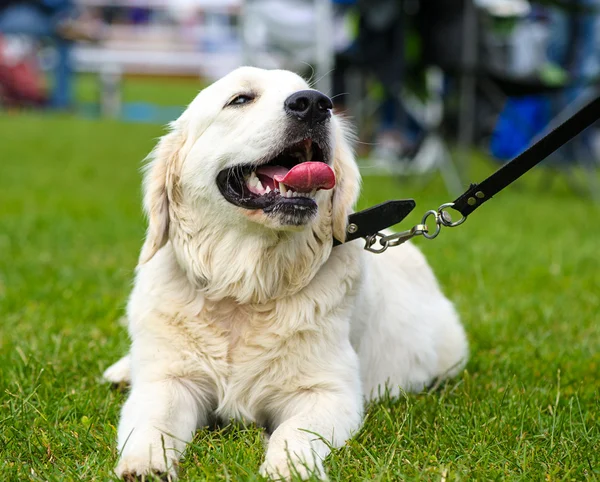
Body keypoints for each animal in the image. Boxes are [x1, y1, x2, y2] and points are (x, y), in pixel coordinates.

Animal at [103, 66, 468, 480]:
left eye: (316, 97)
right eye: (241, 99)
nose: (314, 103)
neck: (247, 286)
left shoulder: (327, 392)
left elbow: (294, 433)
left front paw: (287, 468)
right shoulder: (169, 379)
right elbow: (154, 419)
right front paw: (145, 461)